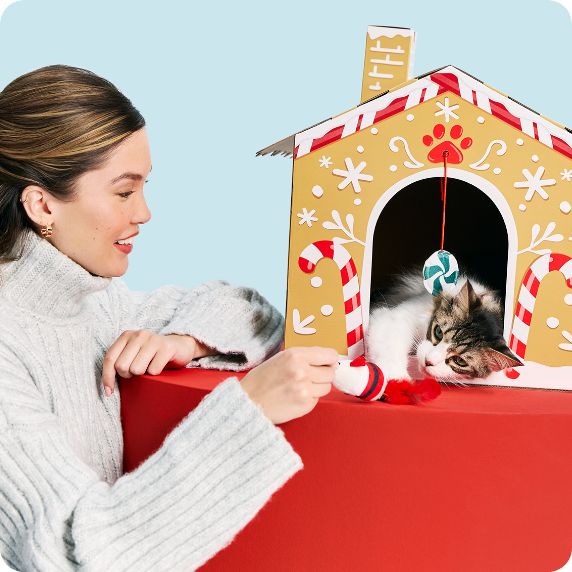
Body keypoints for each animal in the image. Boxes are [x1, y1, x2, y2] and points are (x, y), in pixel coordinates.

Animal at [366, 272, 524, 384]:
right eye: (438, 333)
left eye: (460, 361)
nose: (428, 362)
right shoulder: (395, 317)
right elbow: (391, 348)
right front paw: (398, 380)